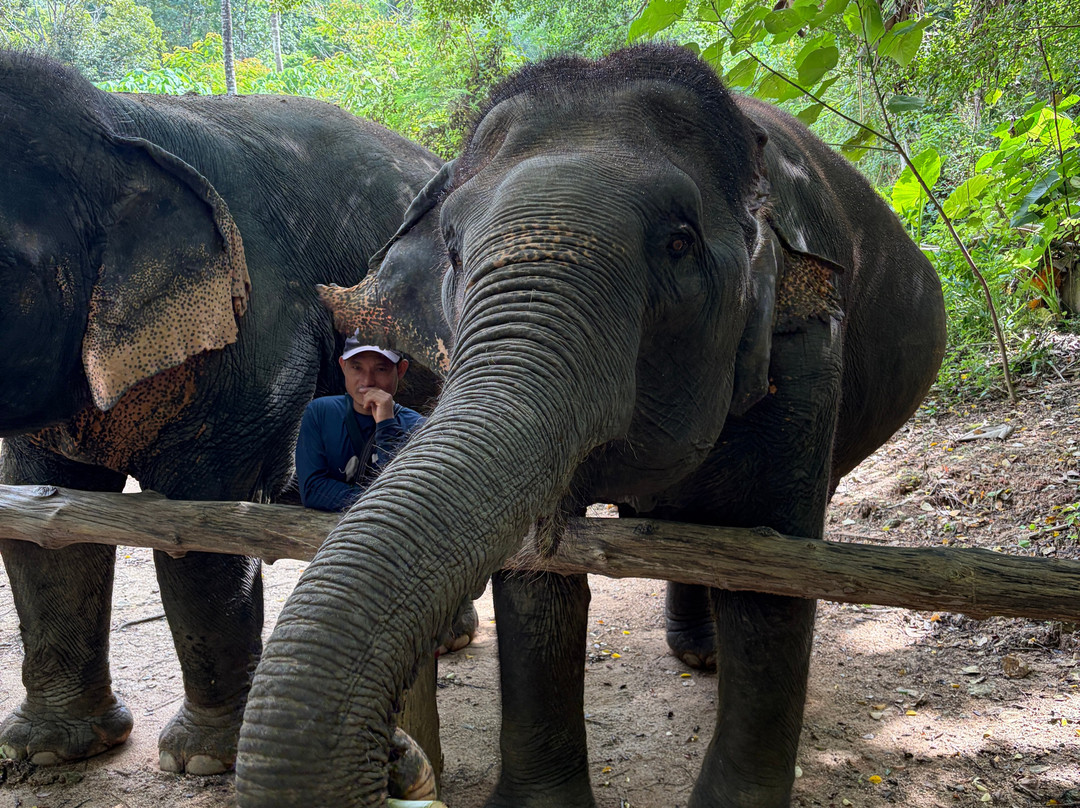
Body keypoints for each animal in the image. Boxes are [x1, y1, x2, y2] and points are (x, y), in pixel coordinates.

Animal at [0, 50, 444, 775]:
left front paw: (206, 762)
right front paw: (44, 750)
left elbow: (206, 528)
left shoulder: (258, 332)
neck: (112, 122)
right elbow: (45, 519)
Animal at [236, 44, 947, 807]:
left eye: (679, 243)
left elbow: (771, 581)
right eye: (453, 249)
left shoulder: (808, 348)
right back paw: (696, 650)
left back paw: (704, 655)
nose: (399, 755)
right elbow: (535, 576)